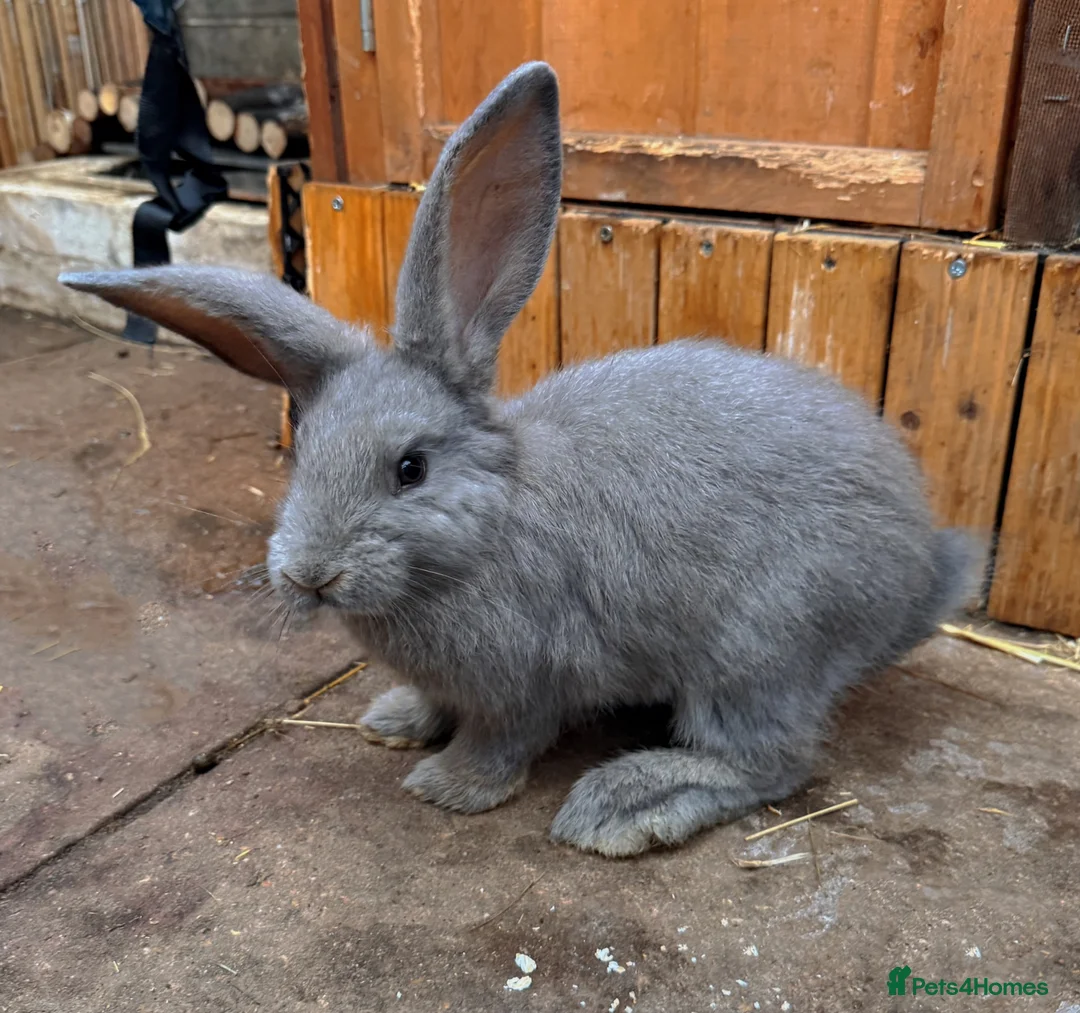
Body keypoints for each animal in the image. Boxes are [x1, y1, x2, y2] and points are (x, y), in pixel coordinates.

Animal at [60, 61, 979, 857]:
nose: (309, 575)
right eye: (301, 457)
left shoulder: (527, 680)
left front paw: (448, 786)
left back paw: (624, 804)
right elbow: (436, 702)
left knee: (770, 762)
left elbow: (504, 741)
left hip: (756, 653)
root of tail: (921, 574)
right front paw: (396, 720)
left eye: (410, 468)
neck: (488, 527)